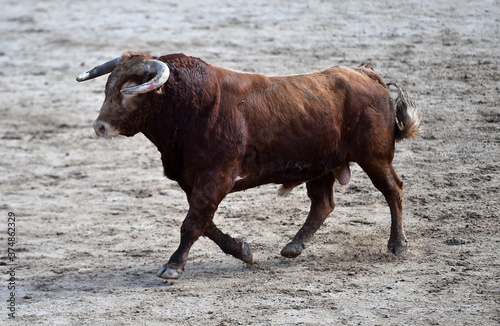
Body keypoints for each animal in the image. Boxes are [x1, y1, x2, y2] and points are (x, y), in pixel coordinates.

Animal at [77, 51, 422, 280]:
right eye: (108, 86)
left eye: (129, 91)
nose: (99, 126)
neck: (190, 106)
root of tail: (366, 73)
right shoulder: (192, 181)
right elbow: (204, 223)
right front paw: (243, 250)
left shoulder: (215, 178)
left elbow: (193, 223)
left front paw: (173, 266)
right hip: (323, 164)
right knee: (323, 203)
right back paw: (294, 246)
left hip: (375, 157)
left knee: (393, 190)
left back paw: (398, 245)